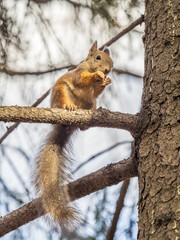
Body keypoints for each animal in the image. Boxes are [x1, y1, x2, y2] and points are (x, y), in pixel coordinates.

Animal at [33, 41, 113, 231]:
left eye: (112, 62)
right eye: (98, 57)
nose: (107, 70)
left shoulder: (94, 94)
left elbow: (97, 91)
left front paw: (106, 81)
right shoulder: (78, 75)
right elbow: (82, 80)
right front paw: (98, 75)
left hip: (90, 104)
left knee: (90, 110)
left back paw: (87, 121)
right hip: (62, 91)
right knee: (64, 101)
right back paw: (68, 107)